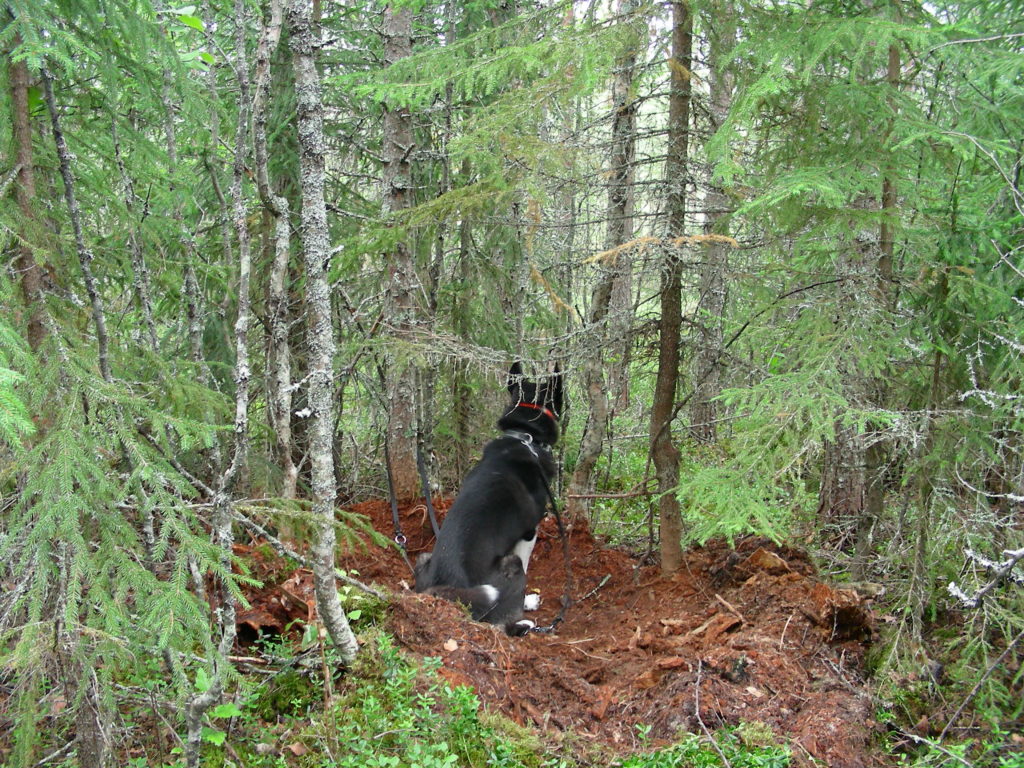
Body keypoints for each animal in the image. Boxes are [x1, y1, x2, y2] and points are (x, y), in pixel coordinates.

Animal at [413, 364, 565, 638]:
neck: (525, 437)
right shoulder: (529, 532)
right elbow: (527, 563)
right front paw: (527, 601)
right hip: (510, 566)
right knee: (501, 624)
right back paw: (525, 623)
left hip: (424, 558)